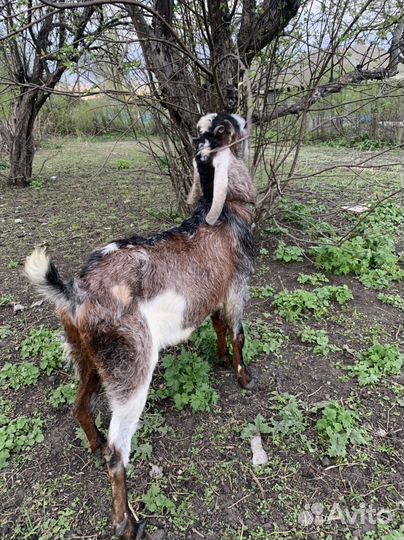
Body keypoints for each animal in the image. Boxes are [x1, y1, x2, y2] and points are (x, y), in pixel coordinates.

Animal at [24, 112, 256, 536]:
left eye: (213, 128)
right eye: (225, 130)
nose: (245, 117)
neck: (223, 211)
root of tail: (76, 292)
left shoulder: (214, 294)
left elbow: (216, 326)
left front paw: (217, 358)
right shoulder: (236, 287)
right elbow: (236, 332)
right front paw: (244, 378)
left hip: (88, 355)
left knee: (80, 405)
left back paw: (95, 444)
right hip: (132, 365)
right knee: (119, 452)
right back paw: (127, 523)